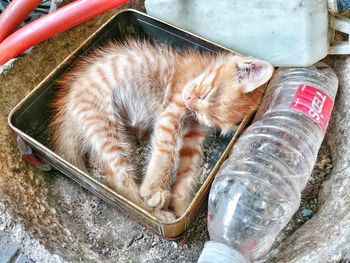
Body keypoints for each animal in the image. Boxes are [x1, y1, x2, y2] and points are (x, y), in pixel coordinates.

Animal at [50, 39, 274, 221]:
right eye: (206, 94)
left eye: (204, 116)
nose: (189, 102)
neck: (199, 70)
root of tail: (68, 102)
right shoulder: (172, 110)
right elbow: (166, 151)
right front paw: (155, 189)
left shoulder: (193, 132)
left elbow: (188, 167)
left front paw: (182, 206)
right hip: (104, 125)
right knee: (118, 179)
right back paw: (156, 215)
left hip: (122, 138)